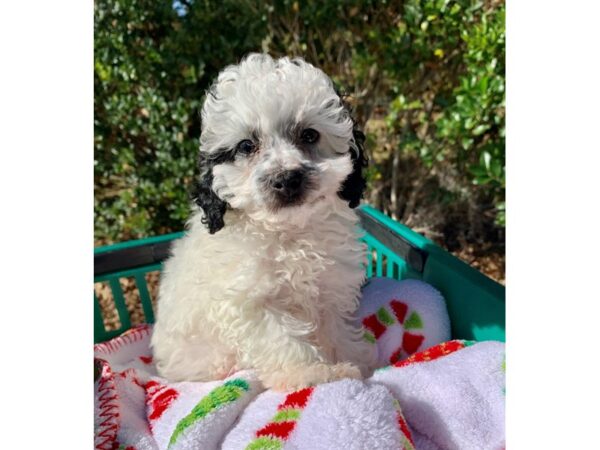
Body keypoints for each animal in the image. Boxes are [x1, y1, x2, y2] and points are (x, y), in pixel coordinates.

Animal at [150, 52, 376, 390]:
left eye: (309, 135)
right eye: (246, 146)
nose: (287, 179)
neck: (287, 231)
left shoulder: (331, 288)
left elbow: (334, 326)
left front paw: (355, 361)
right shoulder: (247, 303)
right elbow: (281, 338)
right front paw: (312, 373)